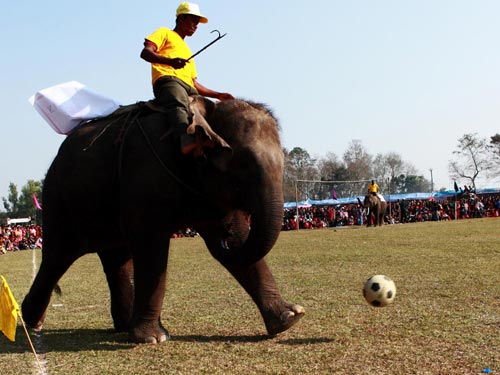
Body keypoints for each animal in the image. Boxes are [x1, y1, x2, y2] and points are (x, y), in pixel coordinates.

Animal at [21, 96, 304, 344]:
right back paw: (31, 321)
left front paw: (289, 318)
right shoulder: (147, 176)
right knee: (57, 257)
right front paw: (153, 338)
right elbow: (151, 246)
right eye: (243, 163)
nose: (223, 240)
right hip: (58, 200)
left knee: (115, 259)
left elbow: (238, 240)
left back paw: (123, 326)